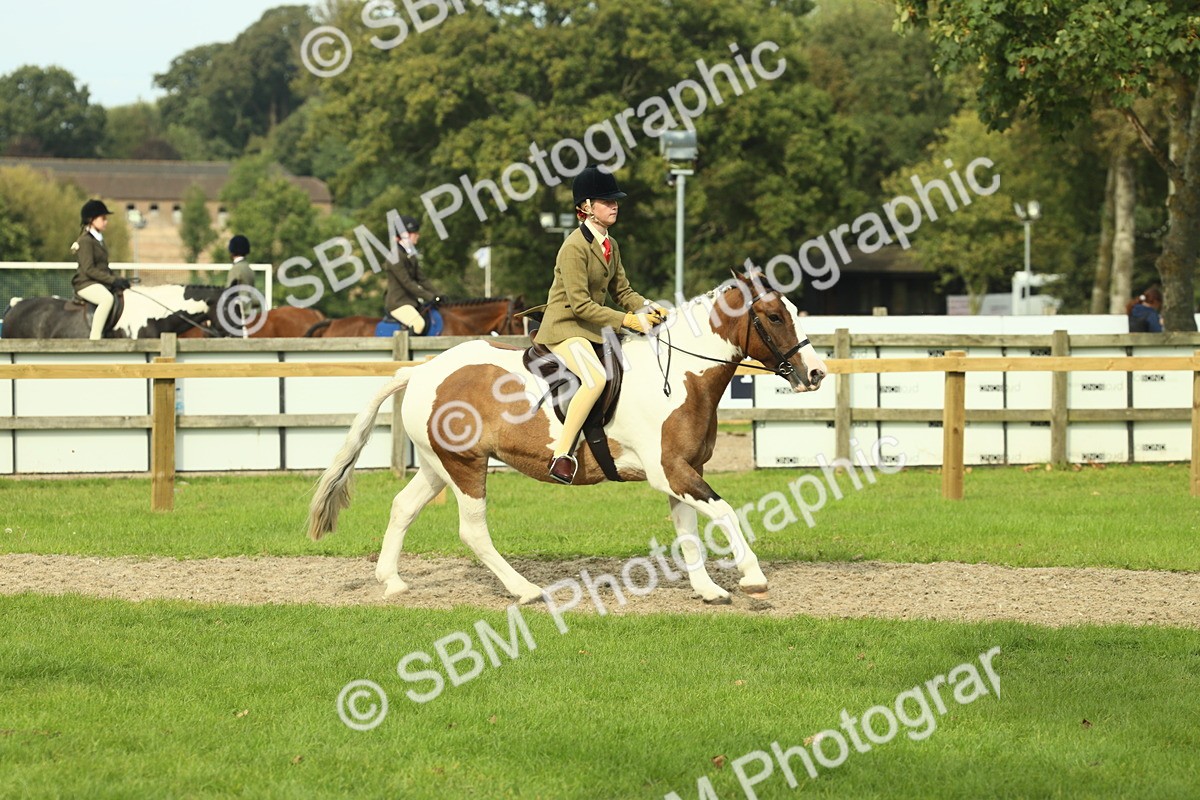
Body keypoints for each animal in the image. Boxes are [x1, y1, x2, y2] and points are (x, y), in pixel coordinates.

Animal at [307, 273, 827, 605]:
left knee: (403, 507)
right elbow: (724, 513)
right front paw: (753, 578)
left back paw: (392, 582)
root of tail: (420, 370)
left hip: (440, 466)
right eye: (775, 318)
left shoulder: (683, 472)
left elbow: (689, 532)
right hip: (465, 466)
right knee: (473, 530)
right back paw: (525, 590)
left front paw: (708, 591)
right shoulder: (671, 472)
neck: (681, 375)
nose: (816, 373)